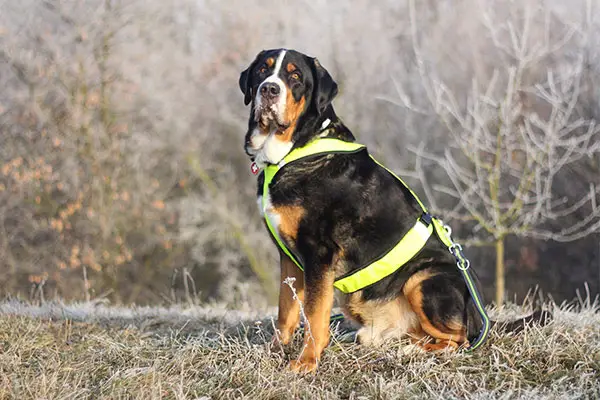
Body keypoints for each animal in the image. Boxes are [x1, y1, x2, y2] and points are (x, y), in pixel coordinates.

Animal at [238, 49, 540, 372]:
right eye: (263, 70)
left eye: (294, 76)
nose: (269, 89)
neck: (293, 152)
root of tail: (479, 315)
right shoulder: (289, 256)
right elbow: (287, 309)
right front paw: (274, 350)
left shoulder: (319, 252)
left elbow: (315, 316)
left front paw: (306, 362)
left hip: (424, 279)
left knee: (459, 339)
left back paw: (414, 351)